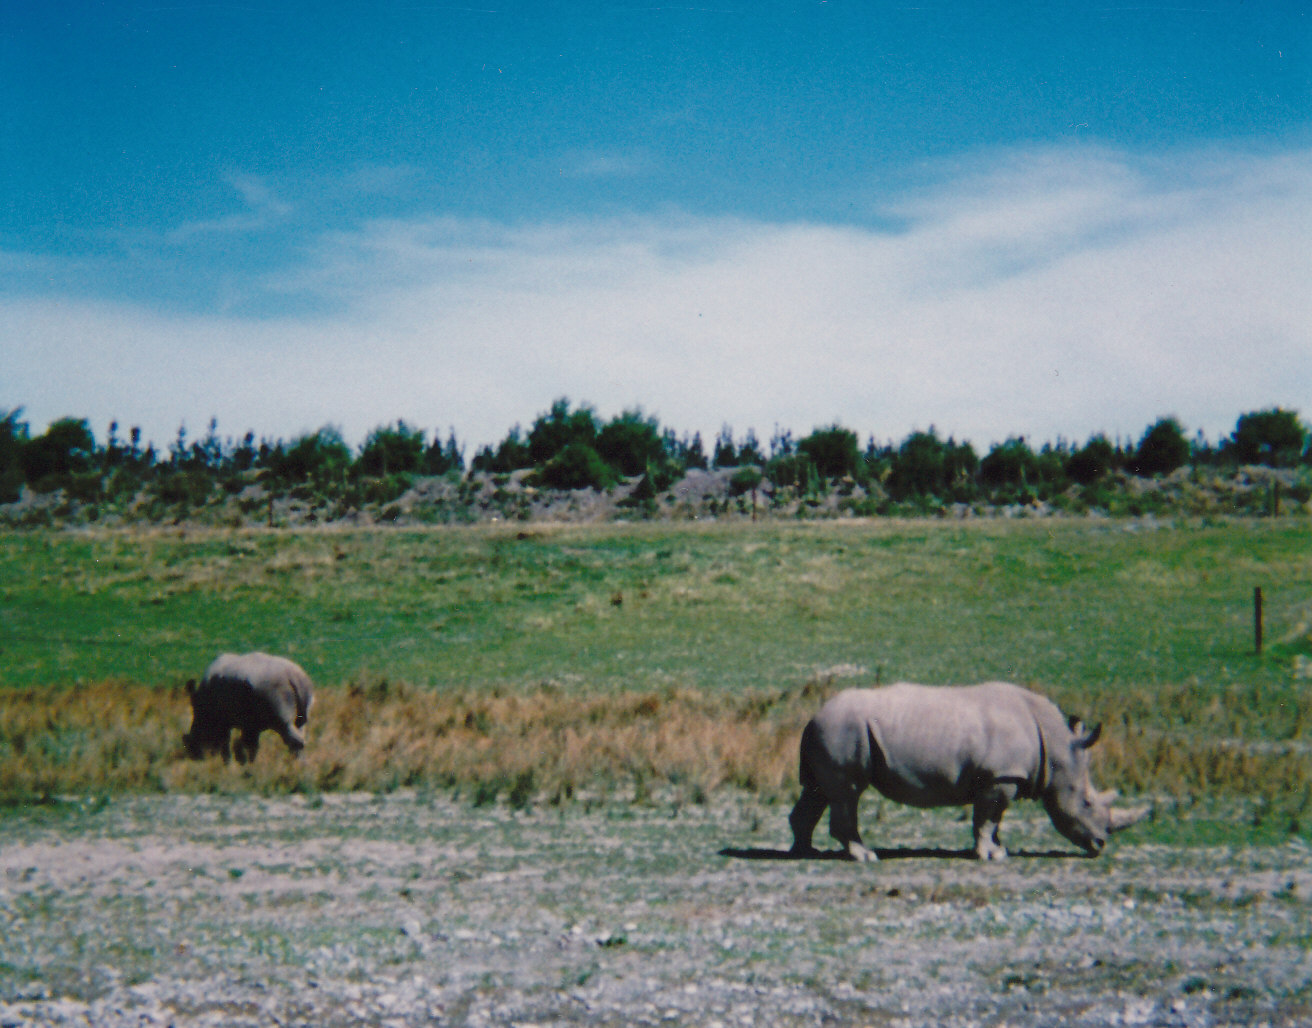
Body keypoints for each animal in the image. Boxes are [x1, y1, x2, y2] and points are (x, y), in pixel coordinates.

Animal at [183, 652, 315, 763]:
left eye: (196, 736)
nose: (193, 755)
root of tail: (292, 675)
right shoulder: (250, 724)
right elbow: (250, 744)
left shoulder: (225, 719)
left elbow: (228, 741)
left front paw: (234, 763)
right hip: (304, 685)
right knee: (300, 725)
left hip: (274, 688)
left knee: (287, 727)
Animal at [789, 682, 1148, 861]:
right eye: (1086, 802)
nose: (1101, 845)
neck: (1057, 747)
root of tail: (813, 716)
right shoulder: (1000, 776)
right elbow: (987, 818)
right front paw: (991, 856)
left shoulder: (1001, 777)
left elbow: (993, 820)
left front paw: (1000, 849)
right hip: (843, 729)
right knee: (848, 792)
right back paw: (865, 856)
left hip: (834, 731)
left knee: (820, 792)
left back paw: (806, 852)